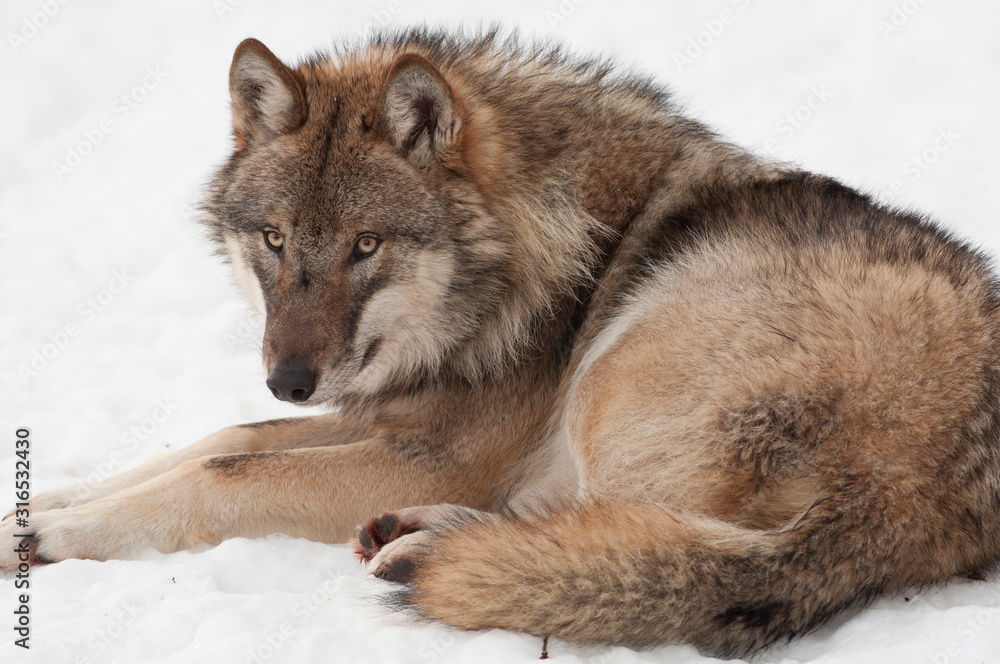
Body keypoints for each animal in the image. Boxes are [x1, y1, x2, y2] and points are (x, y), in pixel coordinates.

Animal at [3, 29, 1000, 658]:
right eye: (277, 240)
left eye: (367, 245)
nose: (289, 379)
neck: (533, 245)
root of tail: (904, 493)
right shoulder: (390, 419)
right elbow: (222, 439)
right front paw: (41, 504)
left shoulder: (441, 453)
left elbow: (221, 472)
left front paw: (58, 532)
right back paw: (415, 542)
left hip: (622, 361)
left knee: (628, 537)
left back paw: (428, 550)